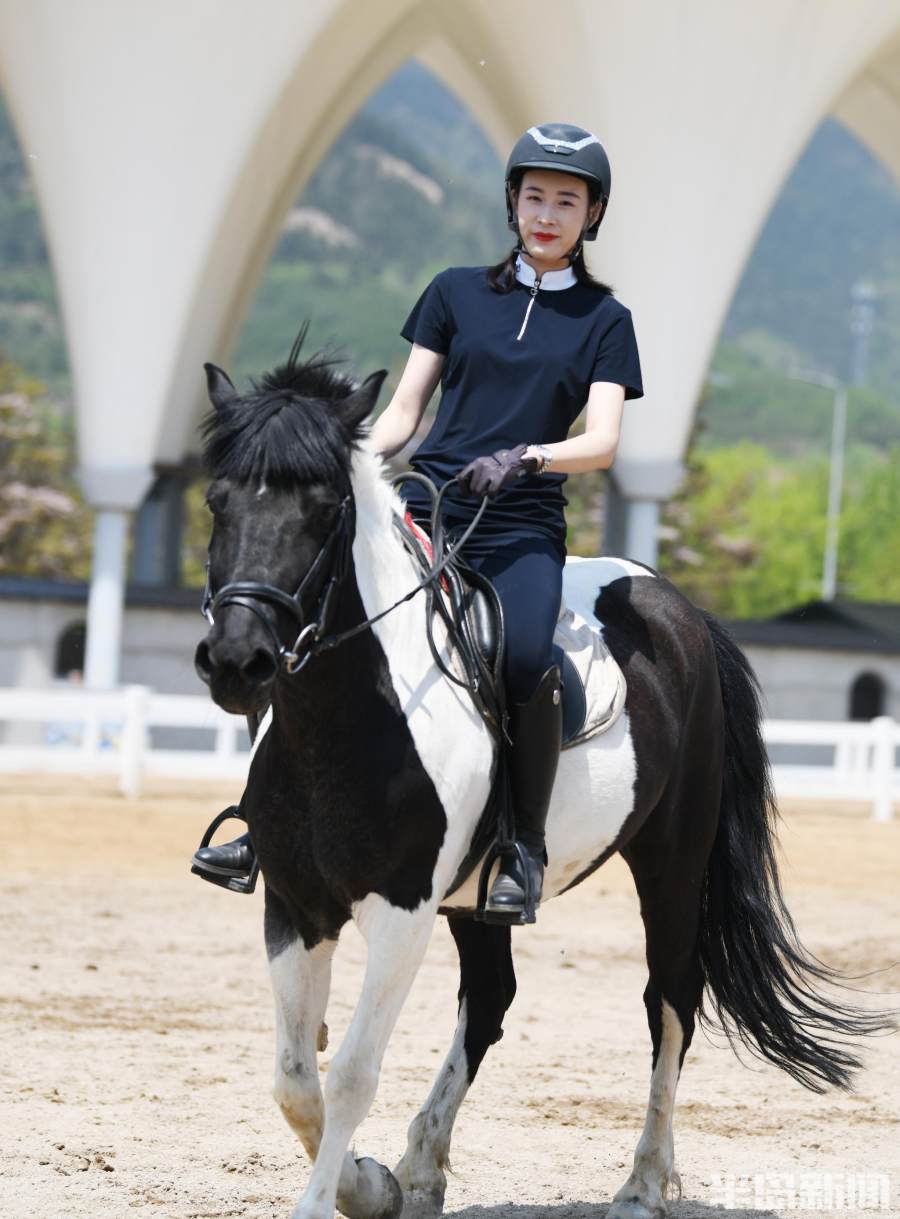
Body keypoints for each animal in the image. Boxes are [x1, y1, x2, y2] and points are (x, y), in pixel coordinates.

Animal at [191, 338, 882, 1219]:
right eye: (217, 501)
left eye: (321, 509)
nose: (237, 661)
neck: (347, 720)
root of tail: (678, 606)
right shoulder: (293, 903)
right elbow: (293, 1078)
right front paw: (372, 1184)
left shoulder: (402, 911)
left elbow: (348, 1075)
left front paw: (334, 1196)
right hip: (480, 899)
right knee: (490, 999)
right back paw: (422, 1167)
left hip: (671, 864)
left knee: (671, 1001)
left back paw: (642, 1182)